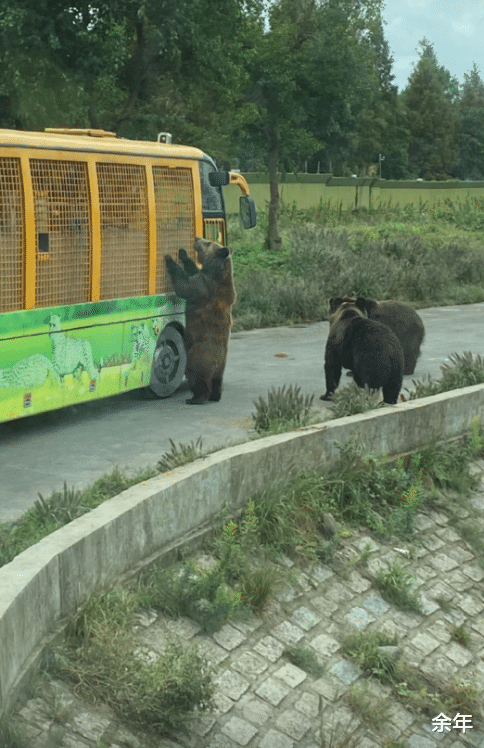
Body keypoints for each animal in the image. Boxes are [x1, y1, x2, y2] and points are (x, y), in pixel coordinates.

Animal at [165, 238, 235, 404]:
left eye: (208, 242)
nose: (197, 239)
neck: (217, 273)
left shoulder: (204, 287)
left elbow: (184, 286)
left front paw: (169, 260)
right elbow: (194, 270)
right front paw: (183, 254)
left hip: (199, 357)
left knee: (198, 378)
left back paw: (195, 398)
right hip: (221, 366)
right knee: (217, 381)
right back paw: (216, 396)